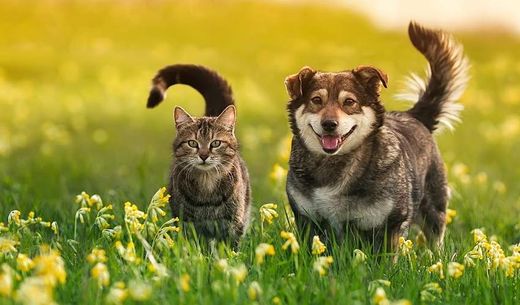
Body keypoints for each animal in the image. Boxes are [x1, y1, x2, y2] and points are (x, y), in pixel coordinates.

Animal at [146, 64, 252, 247]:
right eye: (192, 143)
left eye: (215, 143)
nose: (203, 155)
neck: (207, 185)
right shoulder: (187, 223)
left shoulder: (234, 223)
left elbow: (230, 249)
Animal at [282, 20, 470, 249]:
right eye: (316, 100)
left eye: (349, 102)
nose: (329, 124)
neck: (334, 164)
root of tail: (414, 115)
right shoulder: (307, 219)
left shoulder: (390, 224)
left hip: (434, 208)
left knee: (435, 238)